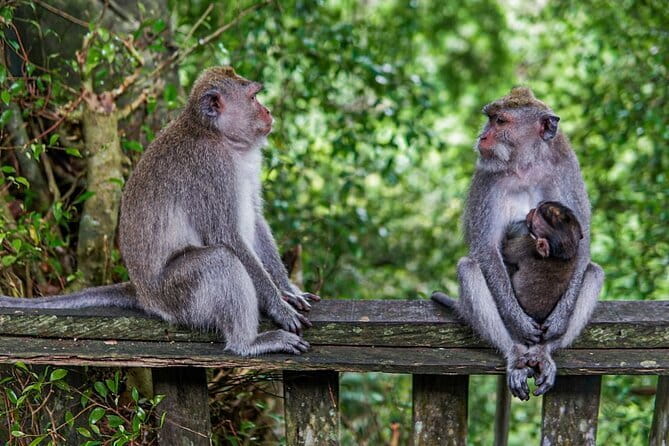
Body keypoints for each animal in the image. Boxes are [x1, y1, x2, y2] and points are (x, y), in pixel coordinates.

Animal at [0, 66, 320, 356]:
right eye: (253, 97)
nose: (267, 111)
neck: (217, 136)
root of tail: (144, 294)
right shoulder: (210, 166)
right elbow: (226, 236)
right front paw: (279, 307)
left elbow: (256, 219)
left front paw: (288, 290)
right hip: (175, 297)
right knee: (219, 260)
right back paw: (248, 344)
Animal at [432, 87, 604, 400]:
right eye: (490, 119)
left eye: (500, 121)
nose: (482, 137)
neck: (526, 164)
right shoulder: (486, 178)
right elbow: (486, 248)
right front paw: (518, 321)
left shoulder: (567, 169)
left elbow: (583, 245)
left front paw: (559, 320)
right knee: (469, 267)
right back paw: (515, 354)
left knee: (594, 271)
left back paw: (545, 351)